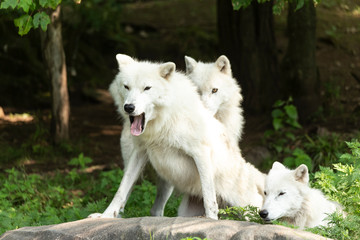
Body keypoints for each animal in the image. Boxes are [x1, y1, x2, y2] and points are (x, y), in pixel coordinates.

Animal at [89, 54, 264, 219]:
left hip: (246, 208)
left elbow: (209, 197)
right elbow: (121, 190)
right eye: (126, 87)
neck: (163, 122)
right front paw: (105, 216)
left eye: (147, 88)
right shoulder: (139, 153)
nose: (129, 107)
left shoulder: (201, 153)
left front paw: (211, 220)